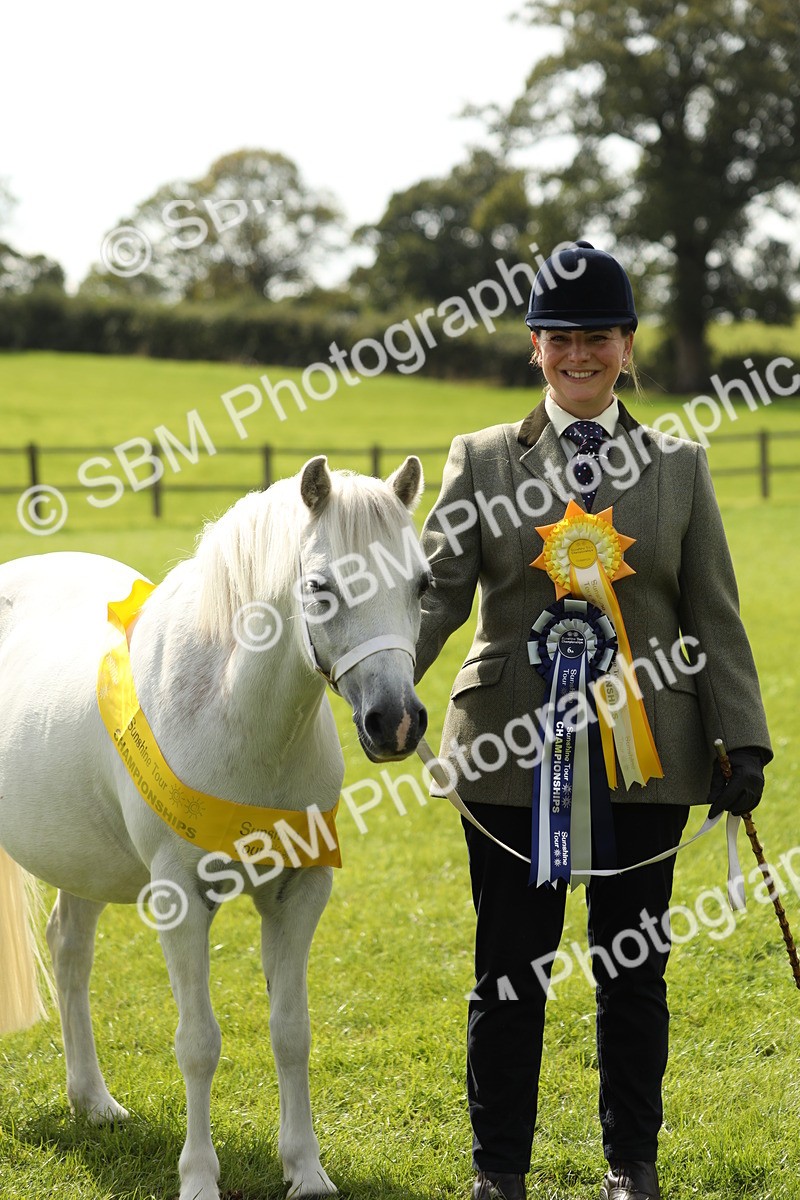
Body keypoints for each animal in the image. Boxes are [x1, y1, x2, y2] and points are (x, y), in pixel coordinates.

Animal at [0, 454, 428, 1200]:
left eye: (423, 583)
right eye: (319, 587)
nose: (396, 722)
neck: (231, 713)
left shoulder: (299, 892)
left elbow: (292, 1032)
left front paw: (305, 1169)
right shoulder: (179, 900)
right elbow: (198, 1043)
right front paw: (199, 1178)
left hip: (77, 858)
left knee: (69, 953)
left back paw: (93, 1102)